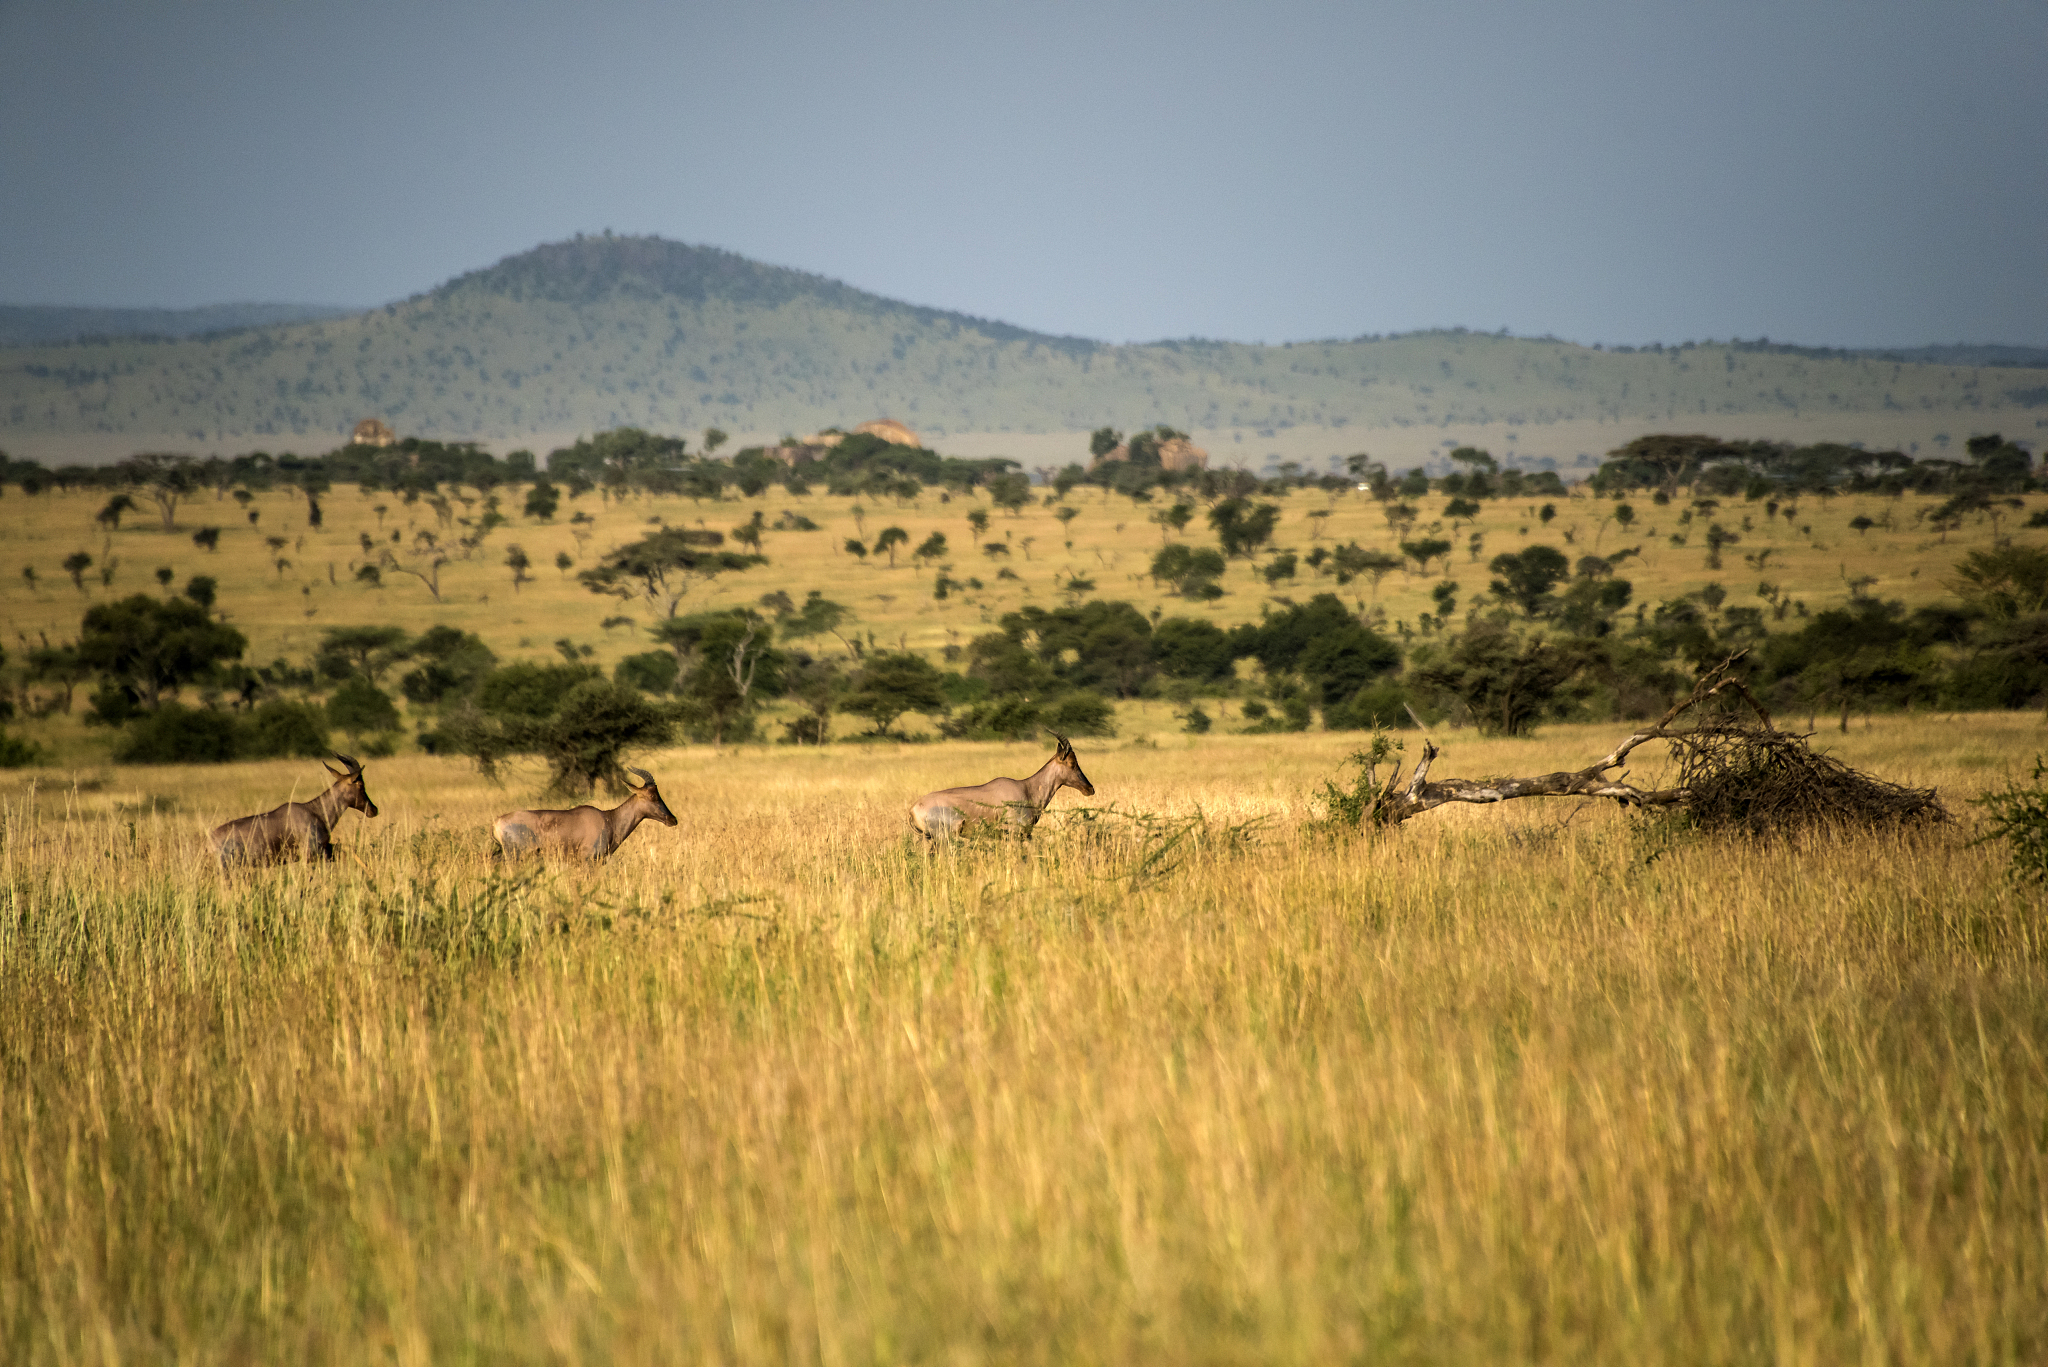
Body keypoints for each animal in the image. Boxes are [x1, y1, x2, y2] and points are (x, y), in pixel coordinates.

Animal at [209, 753, 379, 869]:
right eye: (360, 785)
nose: (373, 810)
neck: (314, 811)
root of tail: (210, 839)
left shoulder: (325, 850)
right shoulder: (309, 855)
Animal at [492, 766, 677, 859]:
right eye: (652, 795)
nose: (672, 819)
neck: (608, 819)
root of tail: (497, 822)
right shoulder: (586, 861)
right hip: (515, 856)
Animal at [910, 732, 1096, 842]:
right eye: (1072, 762)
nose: (1090, 789)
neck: (1026, 788)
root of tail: (912, 809)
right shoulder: (1015, 834)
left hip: (927, 840)